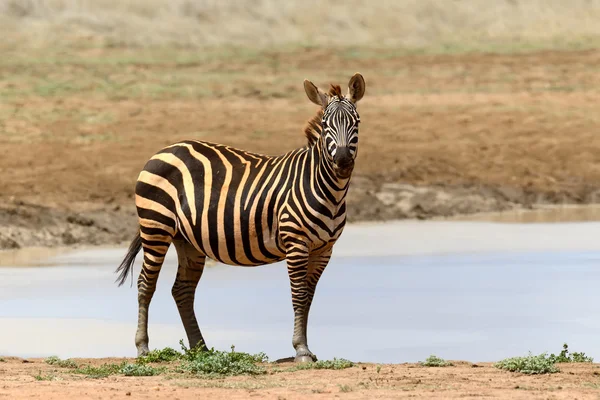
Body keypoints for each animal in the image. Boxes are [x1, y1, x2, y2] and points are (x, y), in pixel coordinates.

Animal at [113, 72, 366, 362]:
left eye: (356, 122)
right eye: (325, 125)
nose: (343, 161)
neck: (325, 188)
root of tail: (165, 149)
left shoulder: (324, 249)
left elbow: (309, 297)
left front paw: (306, 348)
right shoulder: (296, 243)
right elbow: (299, 295)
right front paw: (301, 349)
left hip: (187, 239)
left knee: (182, 290)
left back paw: (201, 348)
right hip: (156, 226)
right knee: (146, 284)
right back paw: (143, 347)